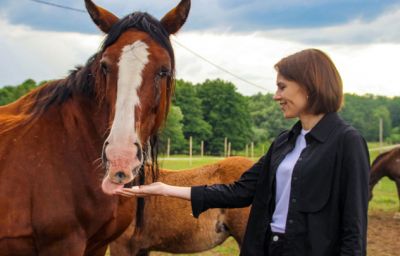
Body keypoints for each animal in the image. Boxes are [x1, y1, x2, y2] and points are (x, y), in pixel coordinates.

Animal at [0, 1, 191, 255]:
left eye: (164, 70)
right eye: (105, 66)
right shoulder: (63, 244)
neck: (74, 144)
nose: (120, 158)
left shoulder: (98, 244)